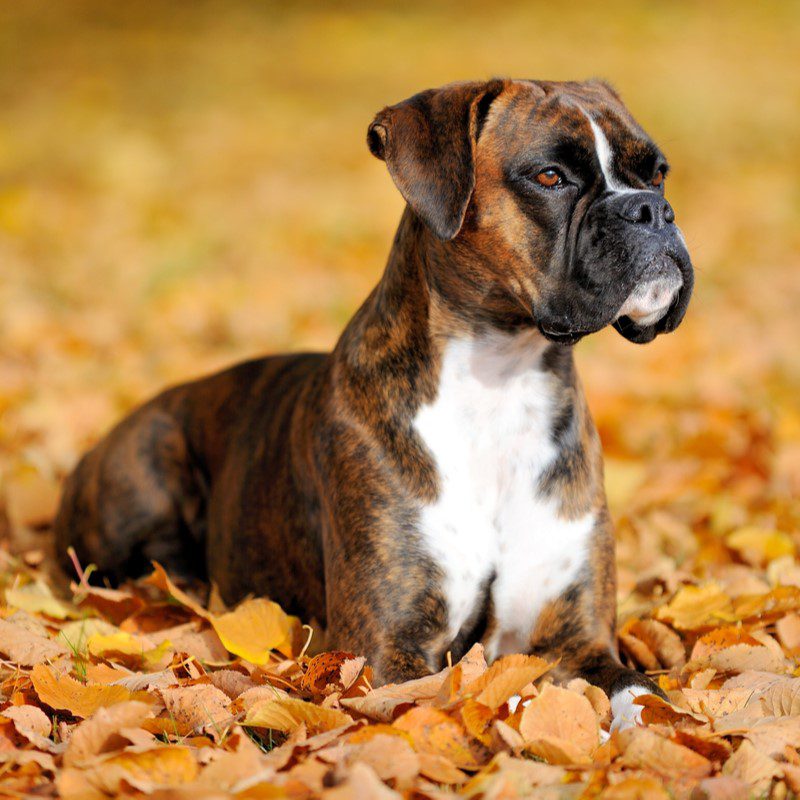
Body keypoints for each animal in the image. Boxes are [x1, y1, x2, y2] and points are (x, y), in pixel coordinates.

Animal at [57, 81, 692, 732]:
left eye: (657, 173)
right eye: (550, 176)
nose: (651, 210)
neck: (501, 379)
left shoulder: (581, 643)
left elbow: (644, 698)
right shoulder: (387, 649)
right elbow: (463, 701)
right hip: (148, 463)